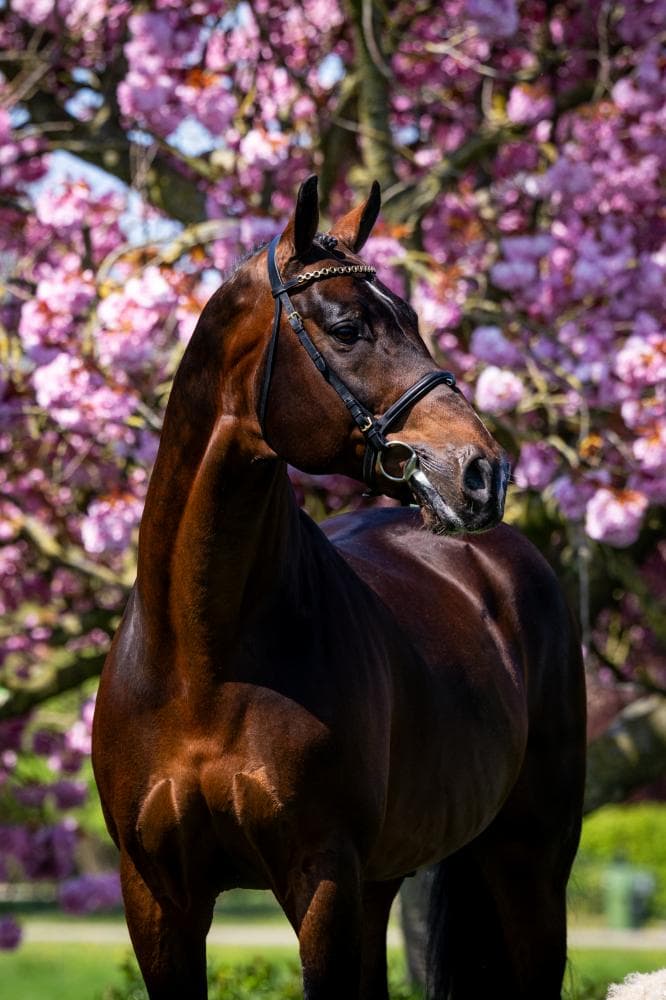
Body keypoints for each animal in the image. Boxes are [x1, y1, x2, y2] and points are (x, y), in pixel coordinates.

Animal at [92, 176, 586, 999]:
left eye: (413, 319)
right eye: (348, 327)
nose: (481, 474)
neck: (201, 659)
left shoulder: (321, 879)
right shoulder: (157, 897)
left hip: (531, 870)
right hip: (382, 882)